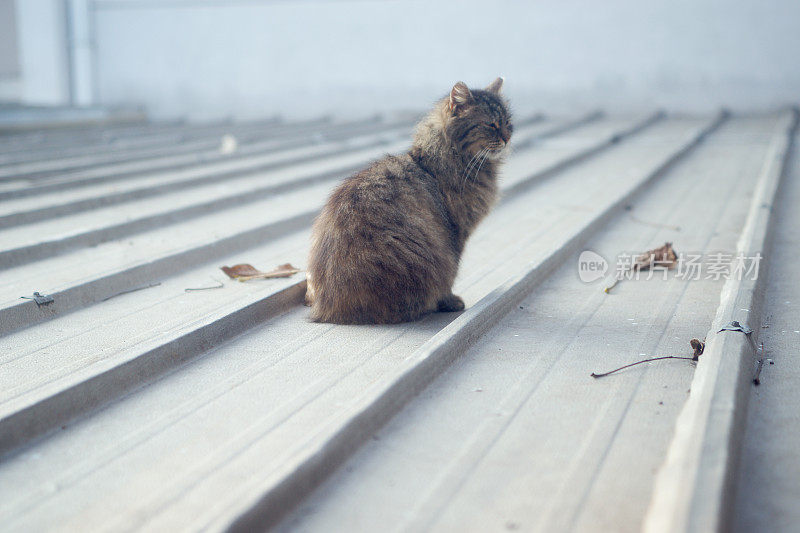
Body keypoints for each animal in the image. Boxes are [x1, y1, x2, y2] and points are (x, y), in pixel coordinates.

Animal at [306, 76, 512, 322]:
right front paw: (450, 301)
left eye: (508, 122)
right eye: (491, 124)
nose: (508, 137)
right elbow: (452, 272)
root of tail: (326, 309)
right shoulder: (456, 233)